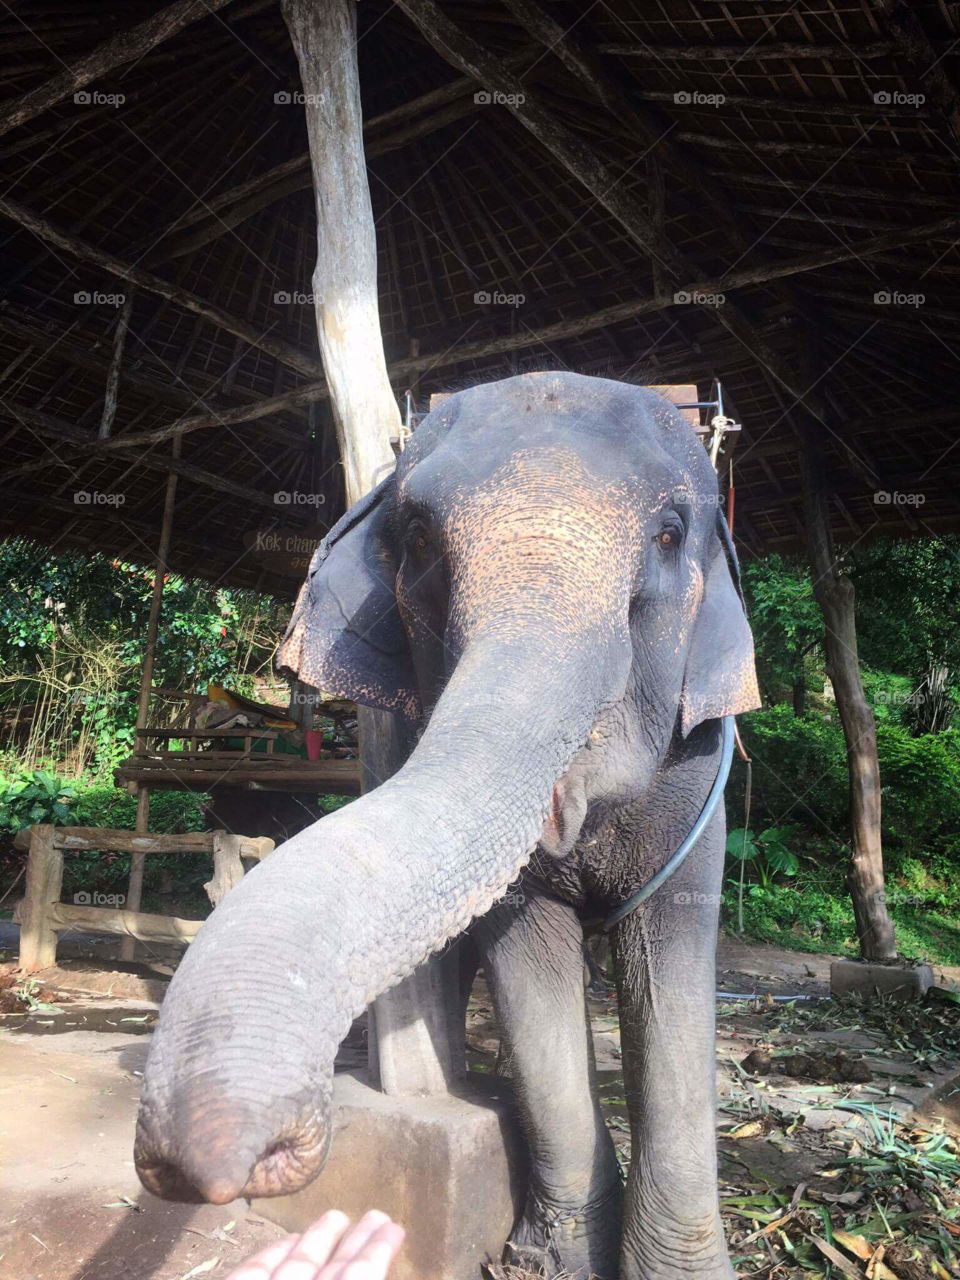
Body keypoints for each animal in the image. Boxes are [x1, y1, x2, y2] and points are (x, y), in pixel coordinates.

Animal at [134, 371, 760, 1280]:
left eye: (671, 533)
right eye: (419, 537)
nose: (268, 1148)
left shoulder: (698, 771)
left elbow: (673, 958)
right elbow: (526, 953)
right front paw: (554, 1263)